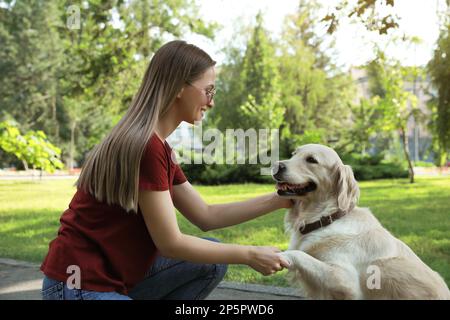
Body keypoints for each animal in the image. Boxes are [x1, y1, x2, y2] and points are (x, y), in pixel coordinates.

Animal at [272, 144, 448, 298]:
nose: (275, 165)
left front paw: (282, 256)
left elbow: (299, 254)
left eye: (311, 159)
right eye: (294, 154)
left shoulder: (344, 280)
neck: (325, 218)